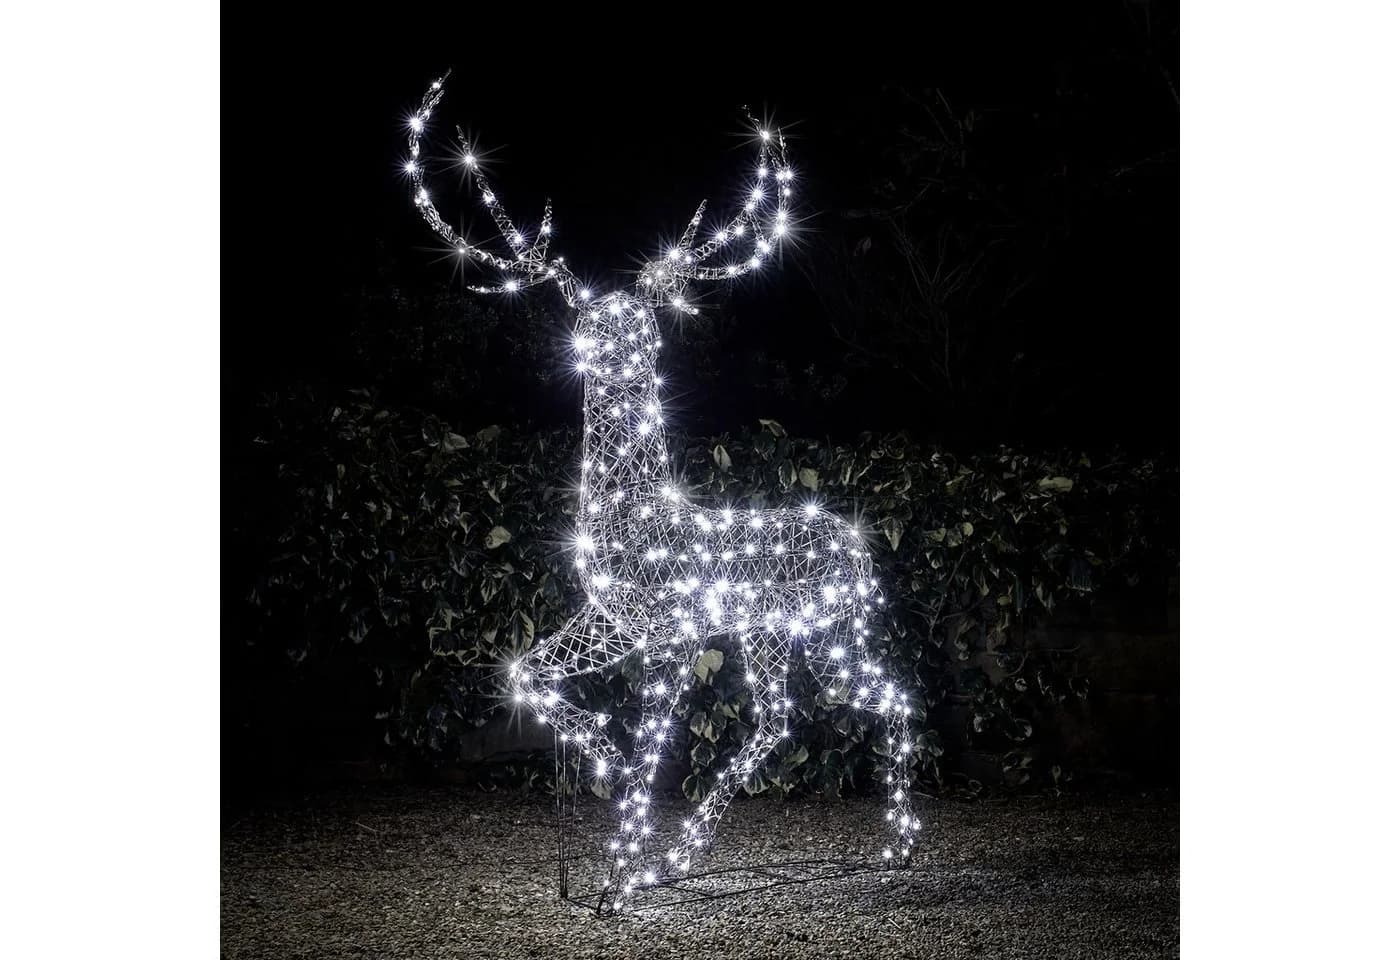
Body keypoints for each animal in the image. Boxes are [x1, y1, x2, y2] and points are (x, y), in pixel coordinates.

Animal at [402, 72, 922, 914]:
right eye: (592, 322)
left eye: (638, 327)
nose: (599, 351)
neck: (633, 515)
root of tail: (856, 542)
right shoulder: (609, 622)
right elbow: (523, 673)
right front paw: (605, 778)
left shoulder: (671, 634)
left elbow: (655, 750)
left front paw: (618, 876)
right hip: (784, 630)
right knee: (791, 717)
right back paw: (691, 855)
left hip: (828, 625)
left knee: (875, 700)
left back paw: (893, 849)